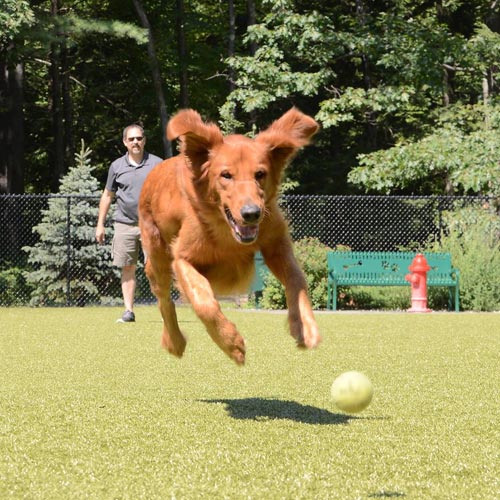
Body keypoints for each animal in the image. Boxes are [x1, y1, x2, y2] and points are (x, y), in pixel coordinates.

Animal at [139, 108, 322, 364]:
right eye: (226, 175)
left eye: (260, 174)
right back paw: (174, 342)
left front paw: (305, 327)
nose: (251, 213)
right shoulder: (182, 257)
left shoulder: (277, 244)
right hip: (158, 256)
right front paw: (231, 343)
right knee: (164, 300)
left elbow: (297, 281)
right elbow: (204, 302)